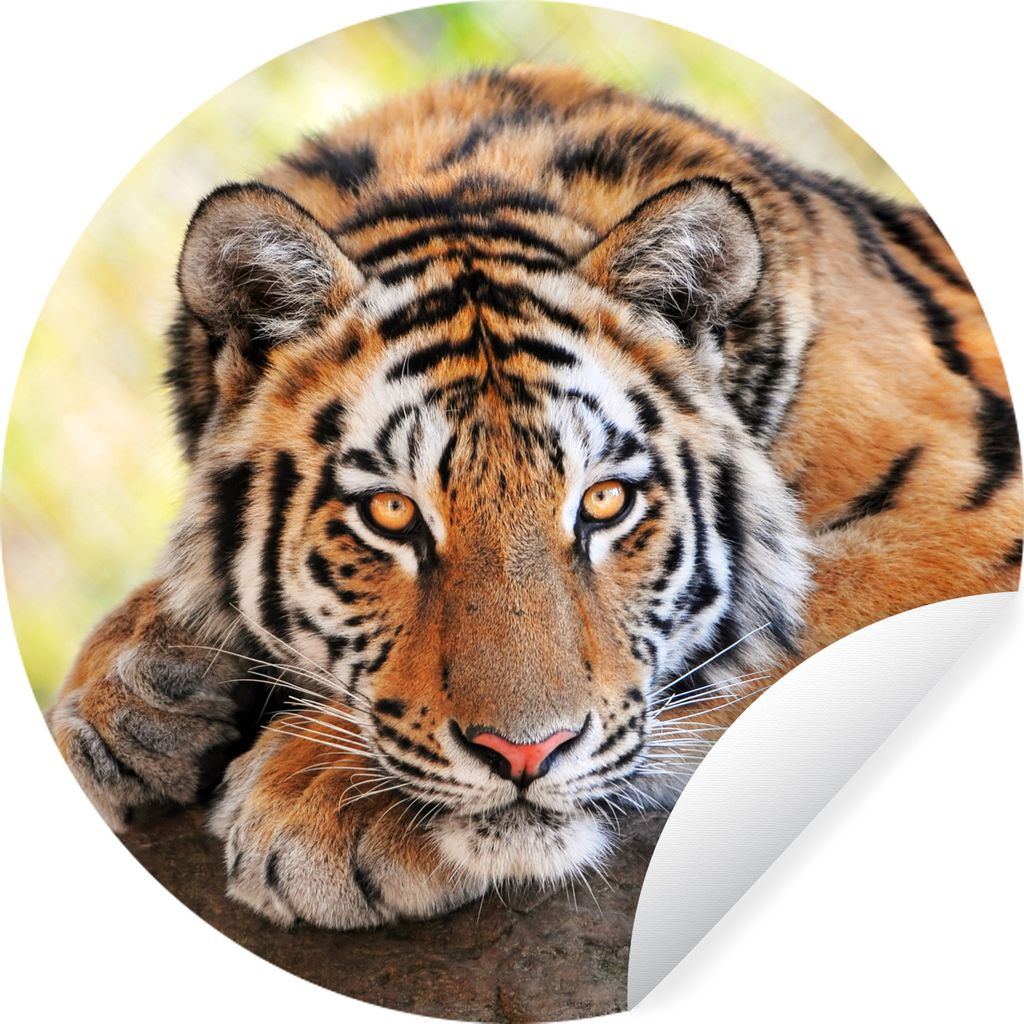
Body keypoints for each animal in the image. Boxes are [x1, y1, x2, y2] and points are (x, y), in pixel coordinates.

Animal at [45, 65, 1021, 930]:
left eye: (604, 504)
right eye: (391, 513)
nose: (526, 754)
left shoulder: (969, 517)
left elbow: (775, 630)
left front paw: (321, 795)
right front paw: (127, 699)